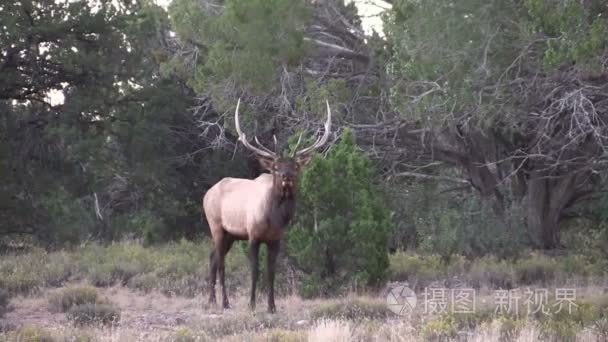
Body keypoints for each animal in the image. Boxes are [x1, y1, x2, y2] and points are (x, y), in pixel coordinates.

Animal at [202, 98, 330, 312]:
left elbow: (271, 272)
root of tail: (206, 193)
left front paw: (272, 307)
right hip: (216, 226)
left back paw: (211, 300)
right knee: (220, 263)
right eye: (276, 167)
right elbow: (255, 270)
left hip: (231, 235)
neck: (275, 219)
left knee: (212, 258)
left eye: (295, 166)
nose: (286, 176)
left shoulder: (275, 240)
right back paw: (224, 302)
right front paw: (251, 304)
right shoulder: (253, 236)